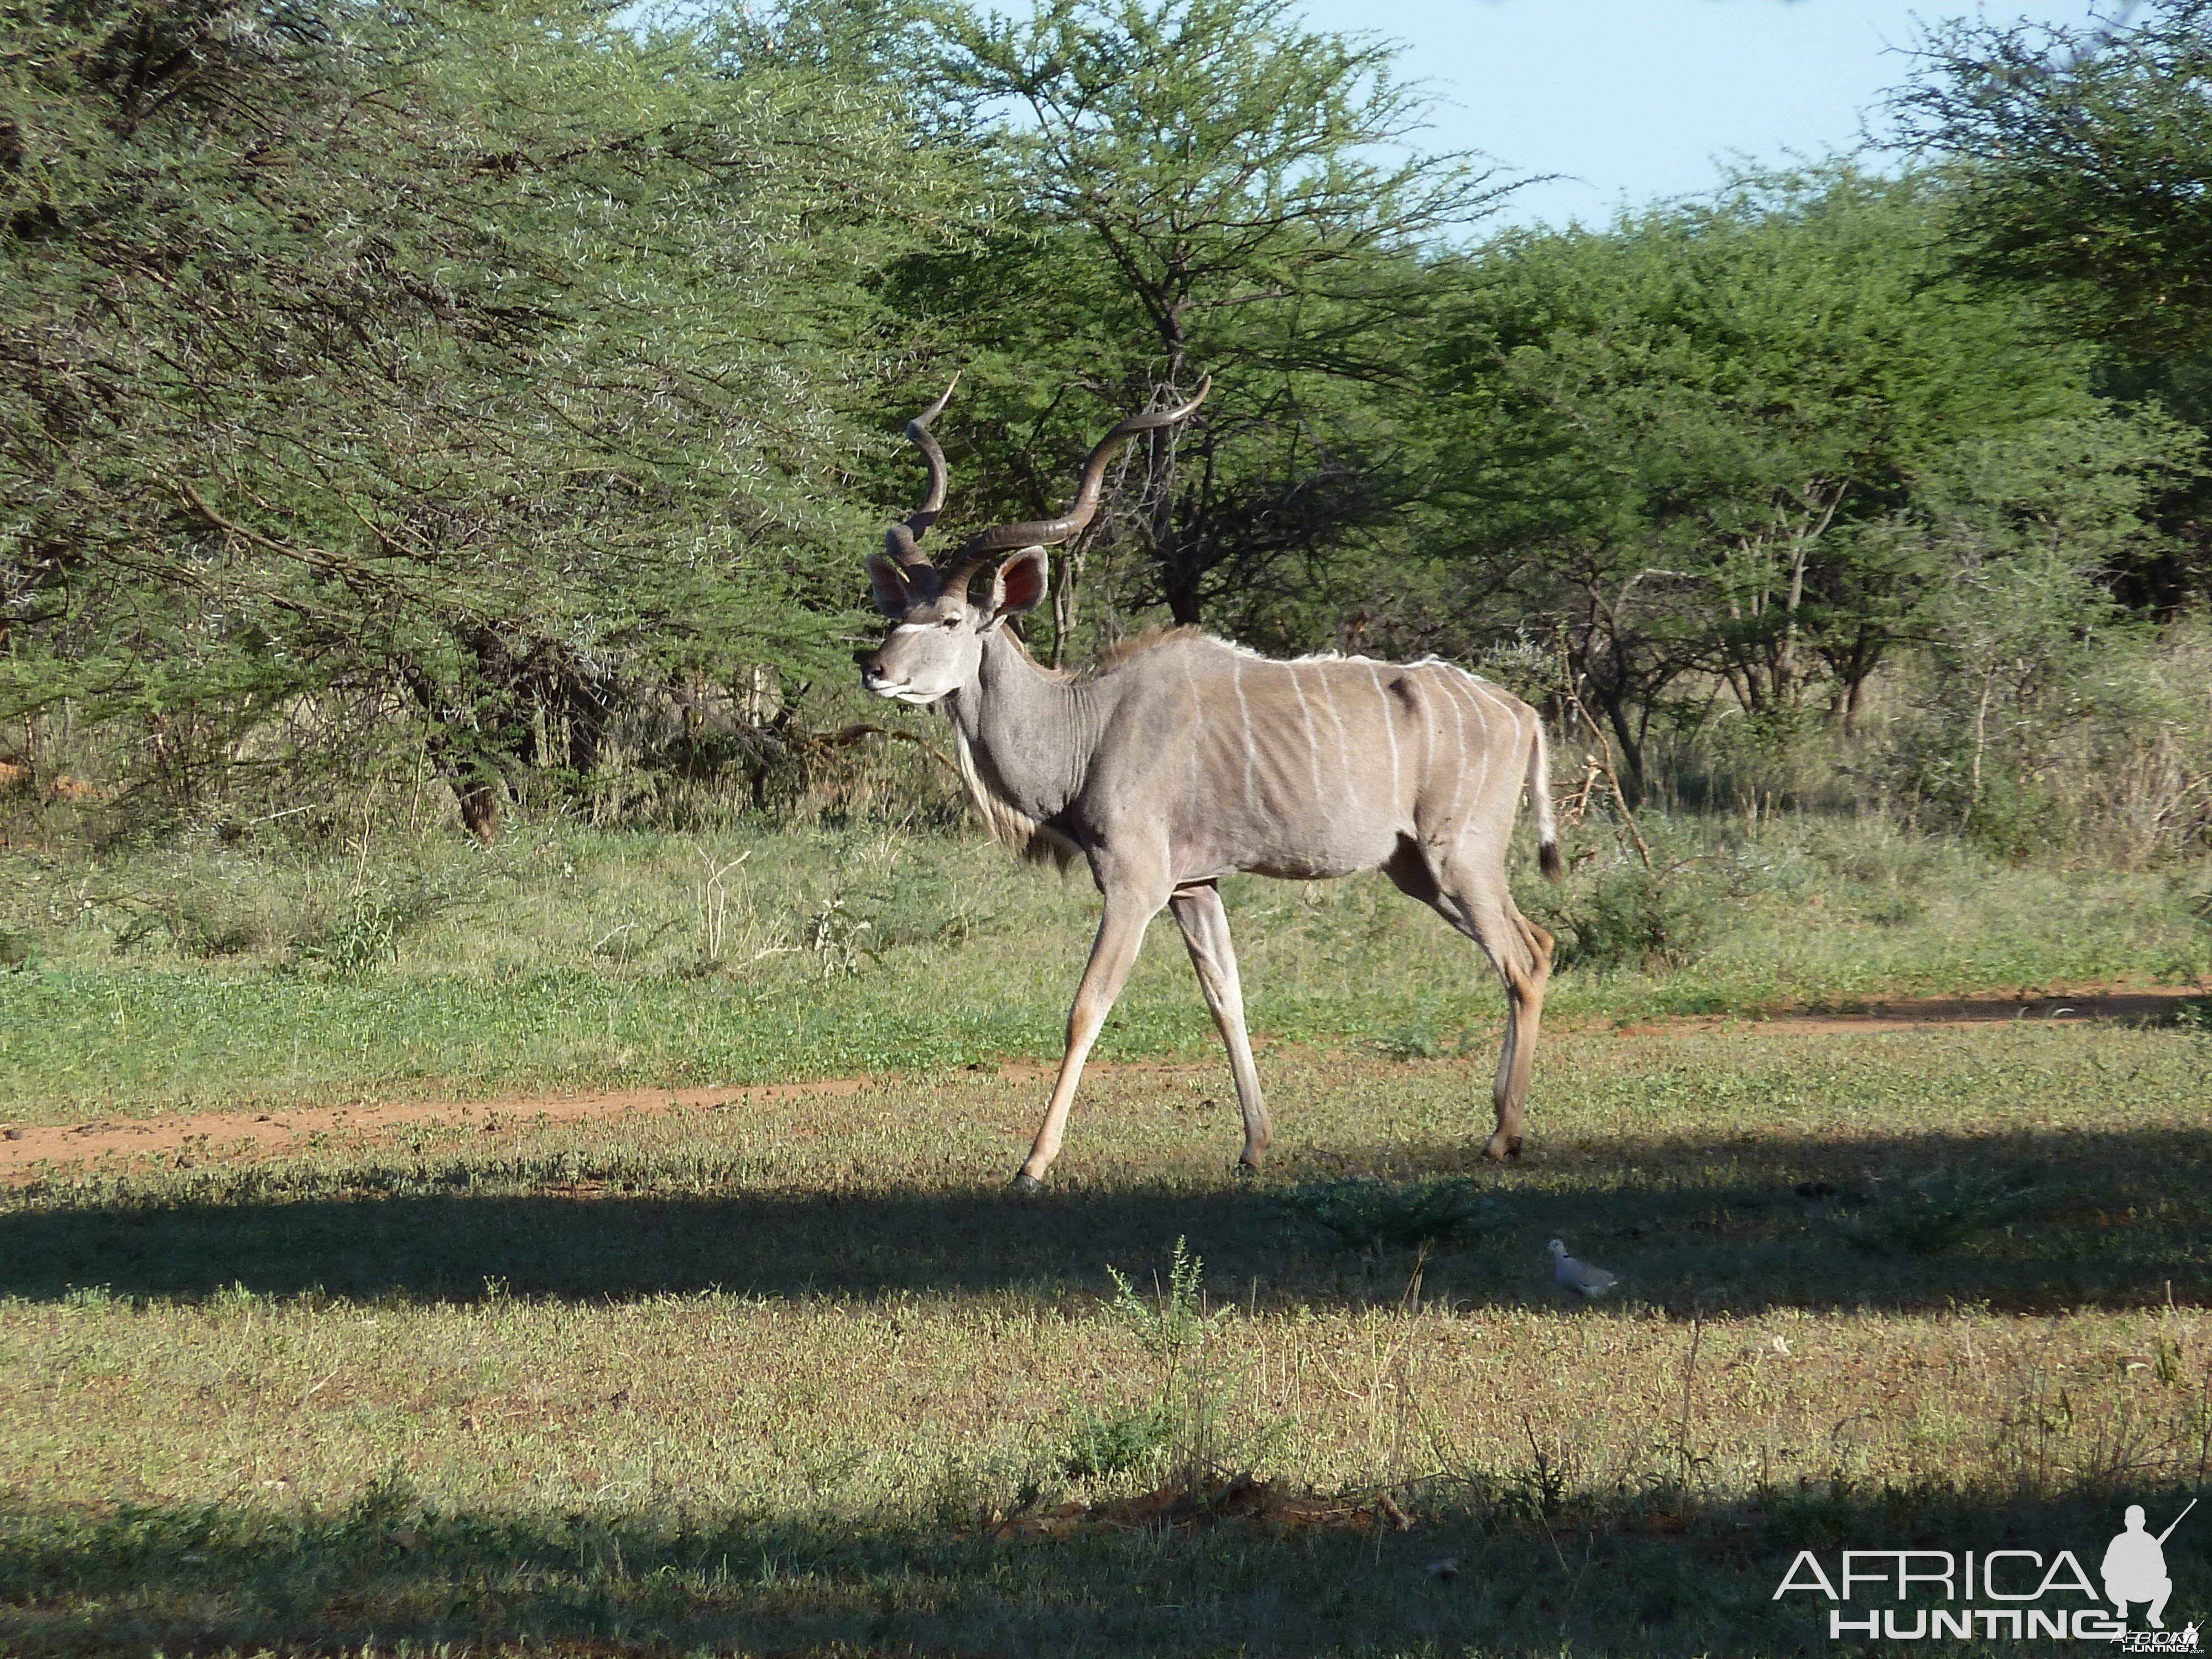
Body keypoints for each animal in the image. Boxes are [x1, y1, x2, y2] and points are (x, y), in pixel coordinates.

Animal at [854, 383, 1566, 1186]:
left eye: (949, 619)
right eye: (896, 611)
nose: (874, 669)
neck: (1087, 726)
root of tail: (1521, 713)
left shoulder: (1136, 884)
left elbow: (1086, 1007)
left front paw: (1033, 1164)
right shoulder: (1196, 887)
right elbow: (1227, 999)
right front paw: (1255, 1144)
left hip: (1459, 858)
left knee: (1521, 959)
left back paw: (1503, 1136)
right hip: (1415, 868)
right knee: (1535, 946)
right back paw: (1503, 1121)